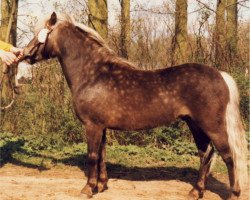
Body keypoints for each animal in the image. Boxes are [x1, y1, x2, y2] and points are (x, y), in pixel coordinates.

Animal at [22, 12, 248, 200]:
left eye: (40, 34)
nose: (25, 54)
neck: (92, 74)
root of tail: (221, 75)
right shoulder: (101, 127)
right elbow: (102, 155)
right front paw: (101, 185)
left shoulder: (92, 126)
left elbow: (92, 156)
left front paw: (88, 188)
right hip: (196, 126)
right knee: (205, 155)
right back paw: (195, 191)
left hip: (213, 126)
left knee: (229, 156)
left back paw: (233, 194)